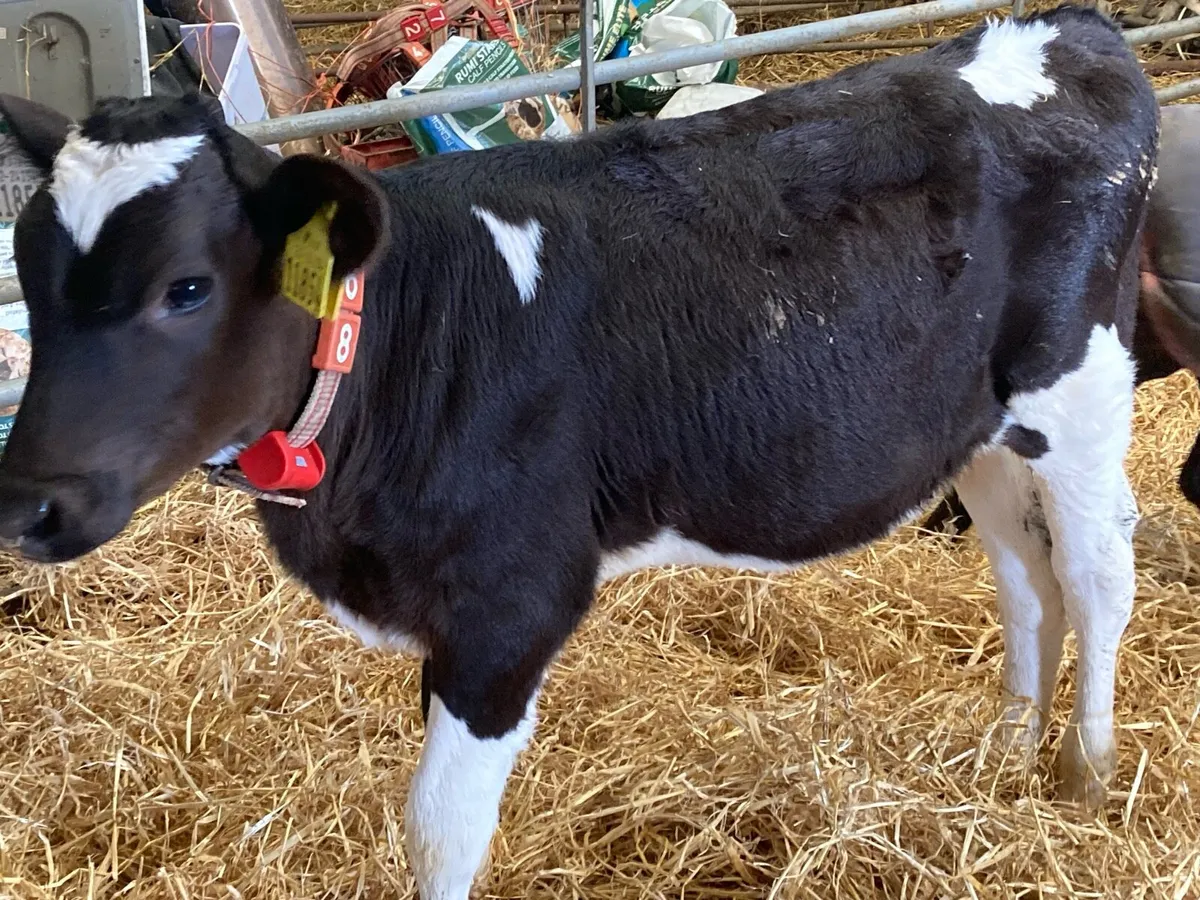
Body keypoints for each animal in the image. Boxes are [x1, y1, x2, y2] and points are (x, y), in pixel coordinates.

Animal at [0, 6, 1159, 898]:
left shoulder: (512, 604)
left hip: (1082, 390)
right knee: (1024, 574)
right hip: (980, 423)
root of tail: (1063, 29)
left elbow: (439, 832)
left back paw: (1088, 773)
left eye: (186, 287)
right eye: (29, 266)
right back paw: (1007, 746)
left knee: (1099, 572)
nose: (25, 506)